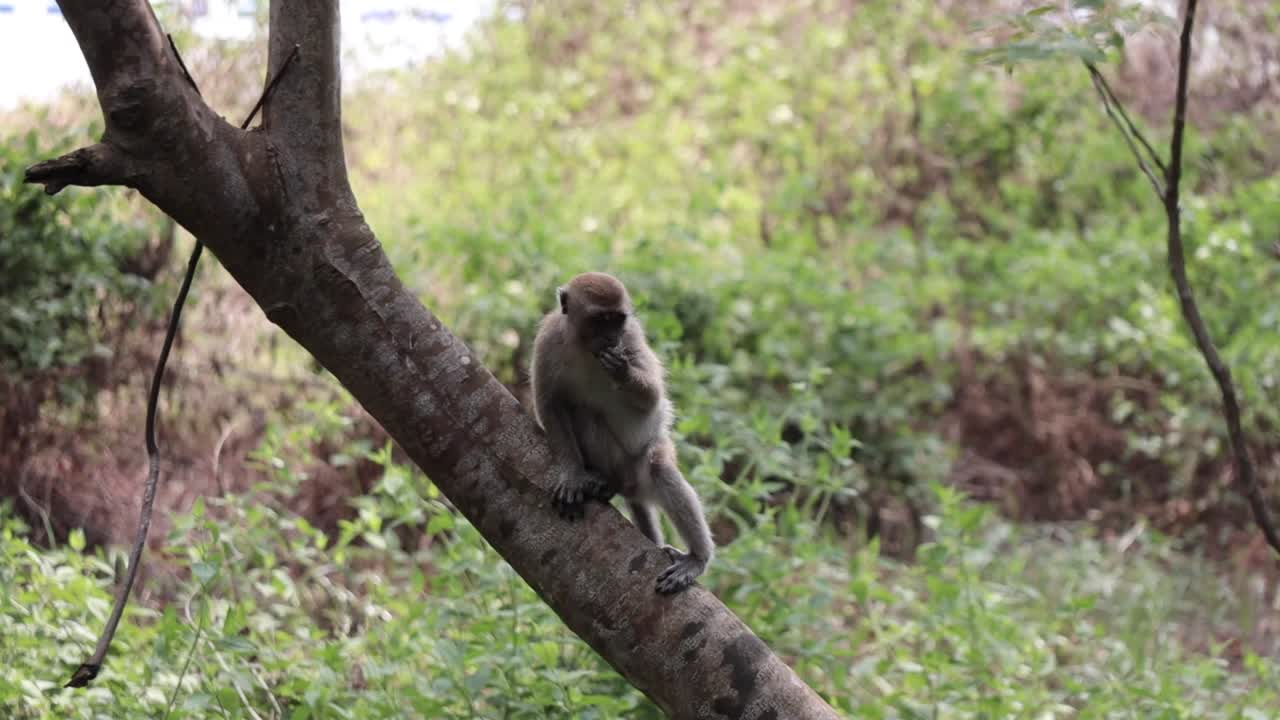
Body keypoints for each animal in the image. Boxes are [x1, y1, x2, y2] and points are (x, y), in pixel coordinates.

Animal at [530, 272, 714, 593]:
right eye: (601, 319)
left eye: (617, 320)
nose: (611, 338)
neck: (585, 349)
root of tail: (630, 483)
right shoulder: (548, 340)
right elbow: (549, 405)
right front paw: (572, 473)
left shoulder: (631, 338)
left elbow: (652, 399)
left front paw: (622, 371)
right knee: (583, 412)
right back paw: (603, 482)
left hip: (642, 466)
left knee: (660, 467)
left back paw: (697, 558)